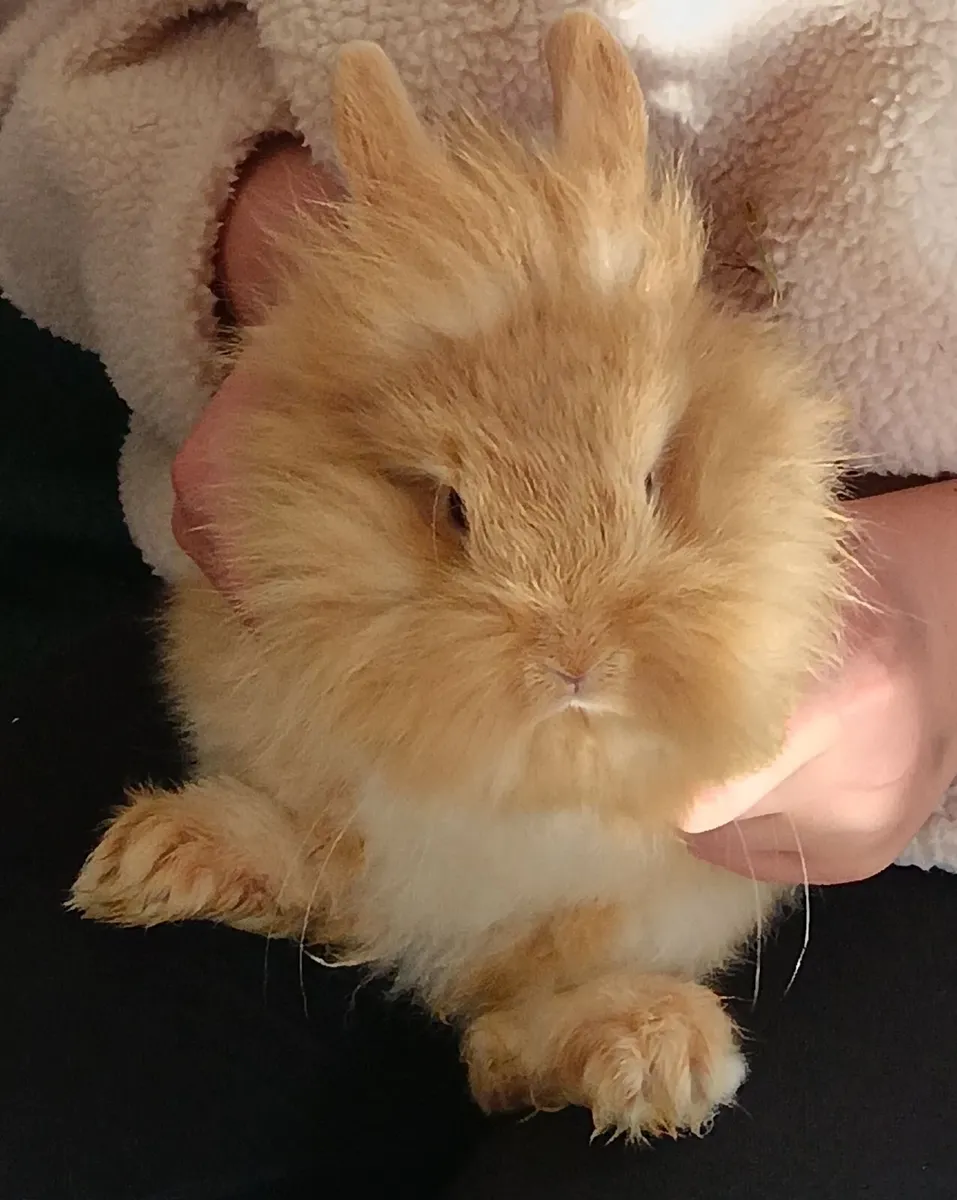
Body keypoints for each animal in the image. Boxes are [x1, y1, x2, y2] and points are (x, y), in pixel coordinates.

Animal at [71, 11, 848, 1140]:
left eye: (653, 476)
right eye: (449, 506)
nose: (575, 665)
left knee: (501, 1027)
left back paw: (648, 1052)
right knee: (338, 889)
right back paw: (164, 856)